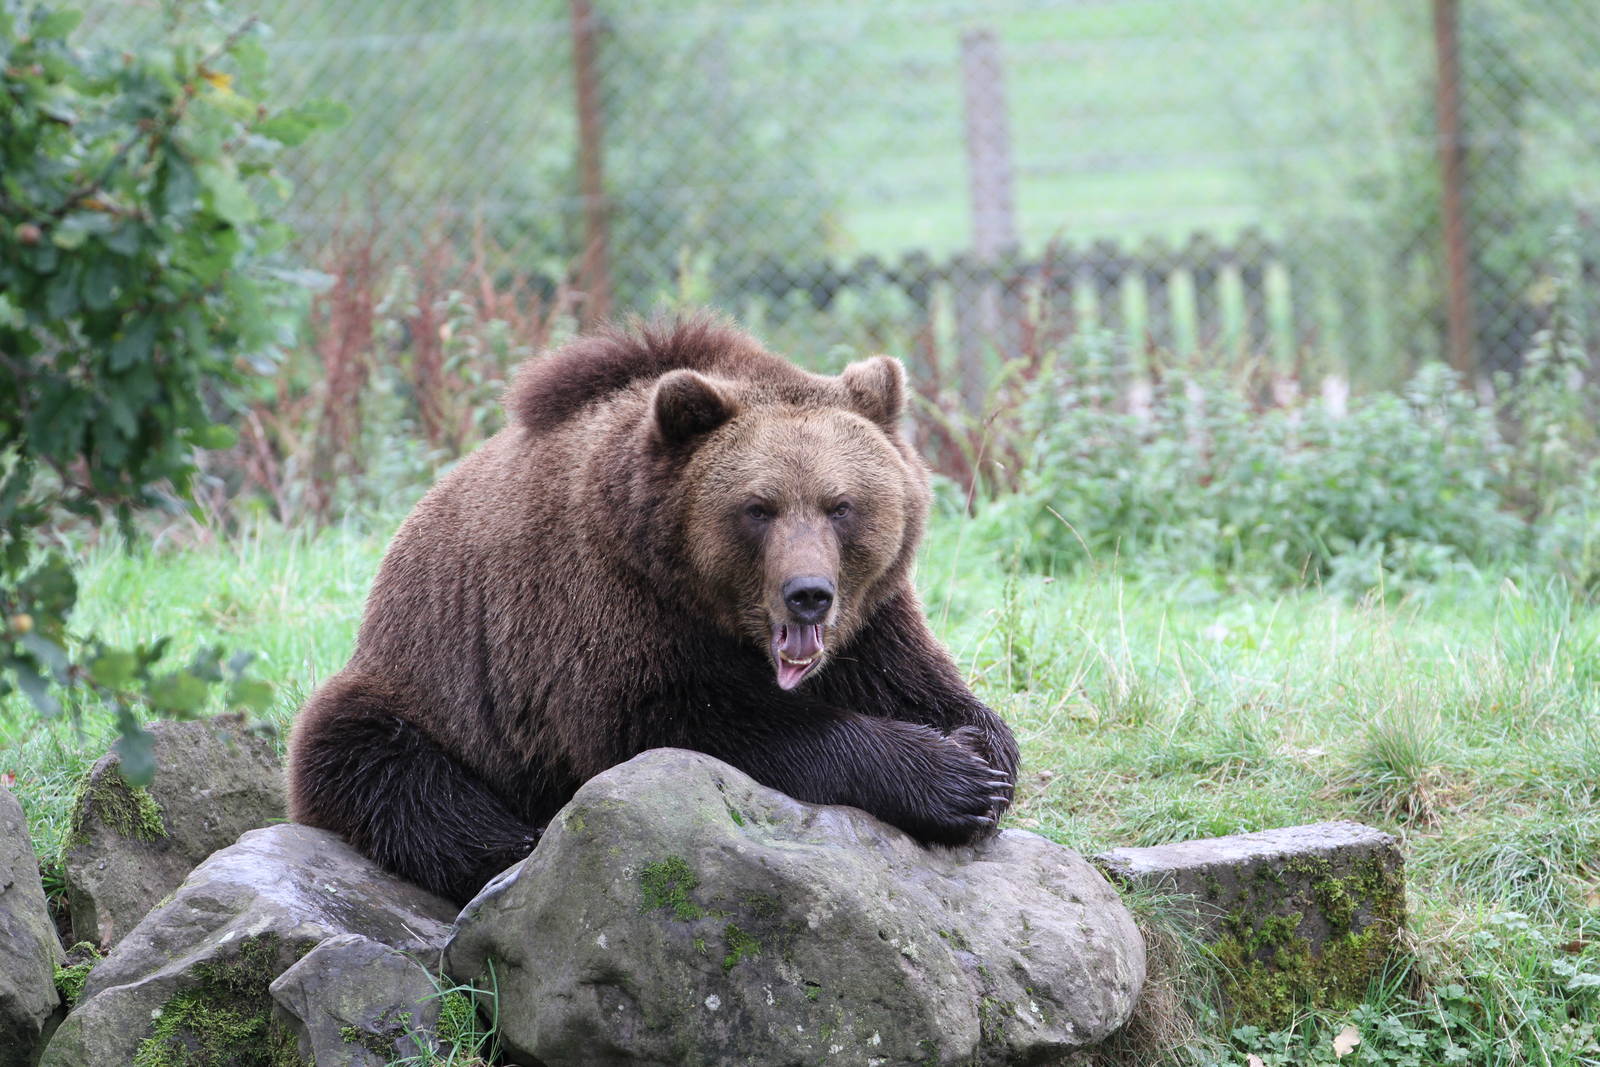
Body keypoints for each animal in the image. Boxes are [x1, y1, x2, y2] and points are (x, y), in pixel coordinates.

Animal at [288, 314, 1020, 905]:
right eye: (758, 507)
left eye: (841, 505)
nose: (807, 592)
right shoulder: (603, 607)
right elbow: (682, 724)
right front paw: (948, 778)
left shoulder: (872, 618)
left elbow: (922, 686)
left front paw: (982, 754)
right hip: (426, 693)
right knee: (391, 774)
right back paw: (520, 847)